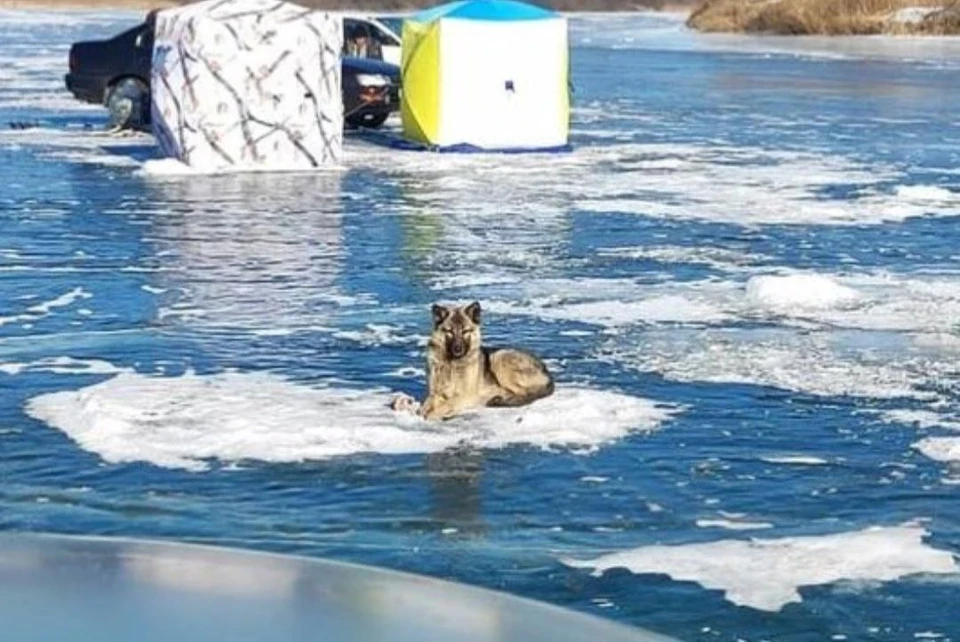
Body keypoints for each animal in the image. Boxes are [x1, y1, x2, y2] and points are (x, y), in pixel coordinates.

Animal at [390, 302, 556, 420]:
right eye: (449, 331)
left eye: (465, 331)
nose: (457, 349)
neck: (452, 365)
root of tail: (546, 370)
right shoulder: (435, 393)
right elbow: (426, 404)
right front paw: (421, 410)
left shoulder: (466, 395)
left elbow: (447, 404)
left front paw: (434, 414)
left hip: (499, 358)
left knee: (524, 394)